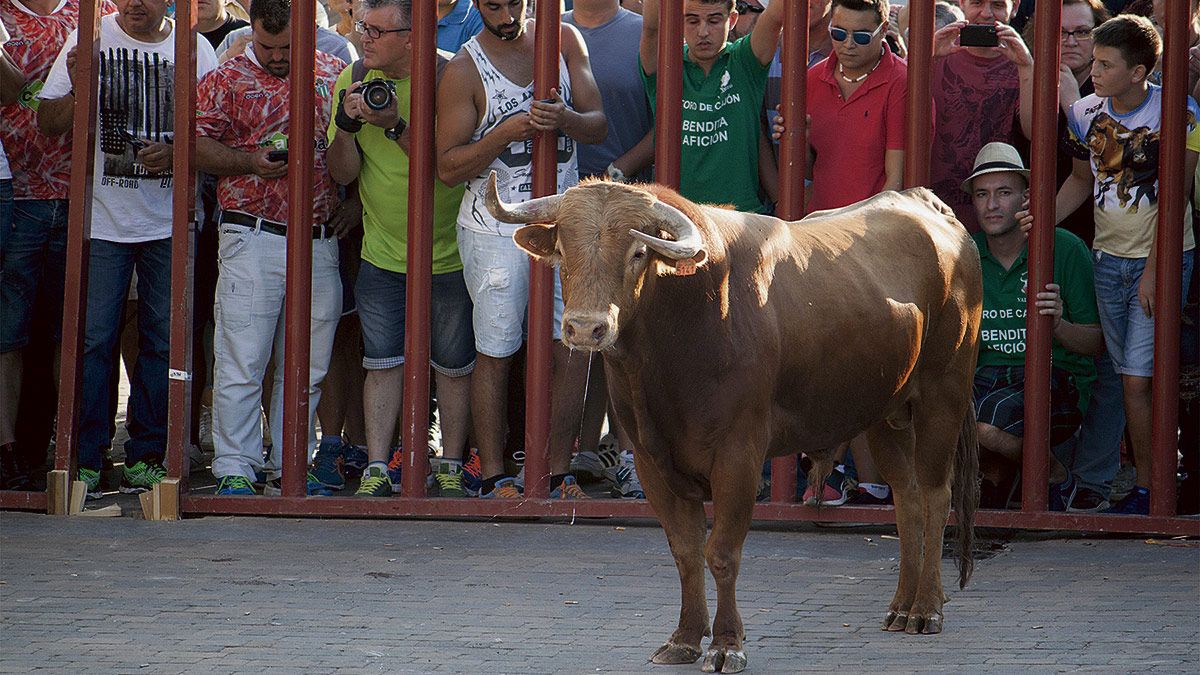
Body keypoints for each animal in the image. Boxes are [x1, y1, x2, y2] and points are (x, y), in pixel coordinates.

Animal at [487, 174, 984, 672]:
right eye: (562, 248)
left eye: (637, 252)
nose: (585, 328)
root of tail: (930, 208)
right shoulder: (652, 462)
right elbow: (685, 552)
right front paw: (685, 638)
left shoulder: (738, 456)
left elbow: (722, 553)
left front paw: (727, 644)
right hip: (887, 413)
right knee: (907, 497)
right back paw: (901, 605)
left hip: (944, 393)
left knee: (936, 494)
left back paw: (926, 609)